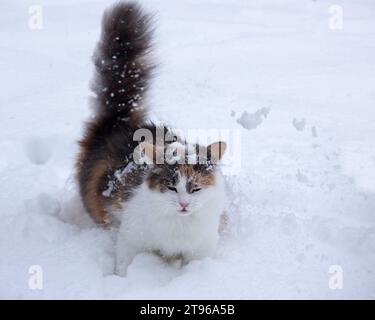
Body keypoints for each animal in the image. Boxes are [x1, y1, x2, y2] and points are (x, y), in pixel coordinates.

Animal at [77, 1, 226, 276]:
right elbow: (123, 265)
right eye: (171, 187)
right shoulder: (131, 236)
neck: (178, 227)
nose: (183, 205)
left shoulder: (202, 247)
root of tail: (121, 121)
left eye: (196, 188)